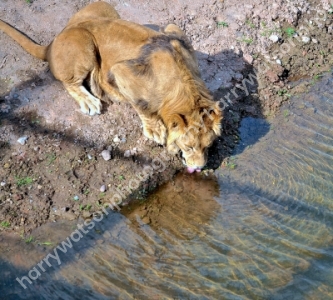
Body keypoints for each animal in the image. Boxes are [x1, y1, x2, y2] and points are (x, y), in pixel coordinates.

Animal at [1, 1, 223, 171]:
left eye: (207, 146)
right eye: (190, 147)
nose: (200, 167)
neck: (184, 85)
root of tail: (54, 40)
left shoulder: (173, 30)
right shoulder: (121, 72)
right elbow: (143, 106)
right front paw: (156, 130)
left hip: (103, 6)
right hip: (84, 42)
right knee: (70, 83)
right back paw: (90, 101)